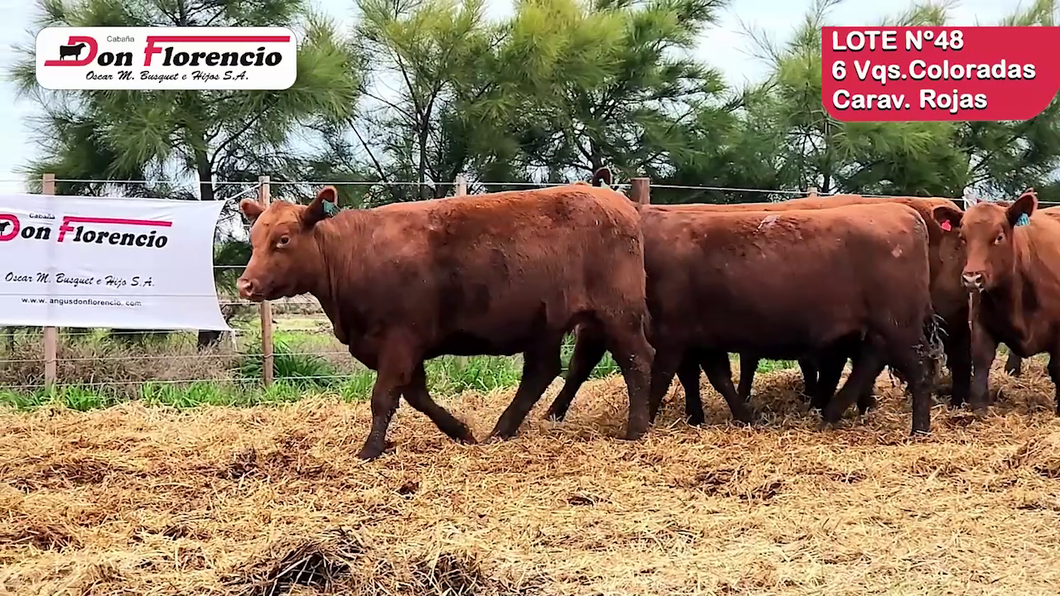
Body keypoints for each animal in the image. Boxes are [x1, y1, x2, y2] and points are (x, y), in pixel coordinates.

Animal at [236, 183, 655, 460]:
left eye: (284, 239)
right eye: (253, 239)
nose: (245, 284)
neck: (352, 254)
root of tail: (616, 199)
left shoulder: (399, 341)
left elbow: (383, 398)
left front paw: (370, 449)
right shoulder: (404, 348)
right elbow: (416, 396)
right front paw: (460, 432)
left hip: (618, 314)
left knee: (637, 360)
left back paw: (636, 430)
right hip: (548, 322)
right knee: (542, 371)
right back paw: (500, 431)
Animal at [545, 184, 963, 426]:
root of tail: (905, 213)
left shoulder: (670, 334)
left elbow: (656, 375)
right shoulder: (701, 336)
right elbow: (716, 377)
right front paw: (739, 415)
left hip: (899, 324)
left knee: (917, 366)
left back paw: (918, 427)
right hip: (880, 327)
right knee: (870, 363)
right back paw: (830, 413)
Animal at [933, 191, 1060, 414]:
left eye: (999, 237)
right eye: (963, 238)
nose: (972, 278)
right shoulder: (980, 324)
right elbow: (981, 360)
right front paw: (978, 407)